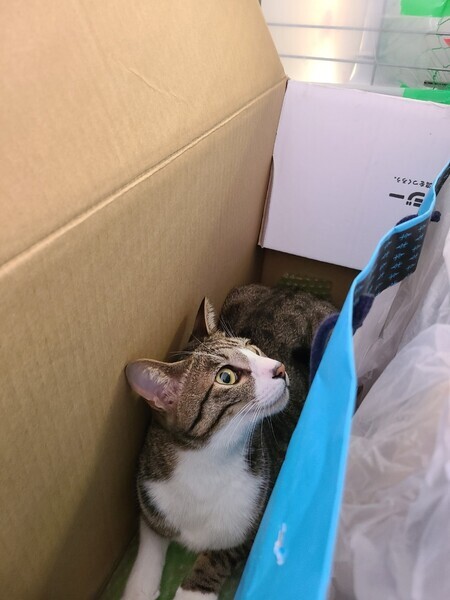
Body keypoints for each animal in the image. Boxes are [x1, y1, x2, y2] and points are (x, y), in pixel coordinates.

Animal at [122, 284, 335, 600]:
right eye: (226, 376)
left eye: (253, 348)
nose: (280, 368)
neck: (207, 457)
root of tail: (299, 291)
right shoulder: (150, 493)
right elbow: (150, 536)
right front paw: (139, 588)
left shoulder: (257, 518)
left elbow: (219, 555)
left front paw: (193, 592)